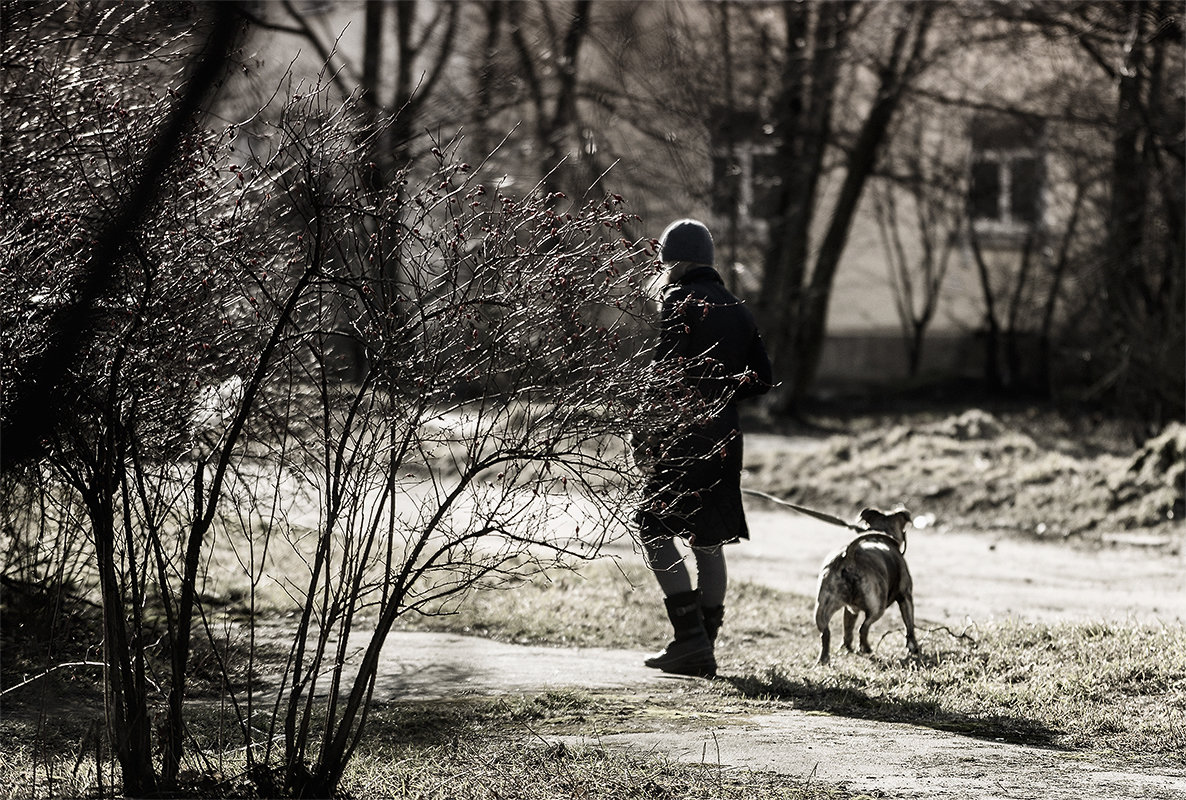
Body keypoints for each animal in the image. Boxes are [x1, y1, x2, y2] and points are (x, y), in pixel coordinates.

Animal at [815, 507, 915, 663]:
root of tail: (848, 556)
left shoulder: (850, 610)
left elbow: (848, 627)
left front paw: (846, 647)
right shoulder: (906, 597)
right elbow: (909, 625)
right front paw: (914, 648)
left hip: (823, 606)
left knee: (825, 632)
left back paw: (824, 659)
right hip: (877, 607)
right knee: (864, 627)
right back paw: (866, 648)